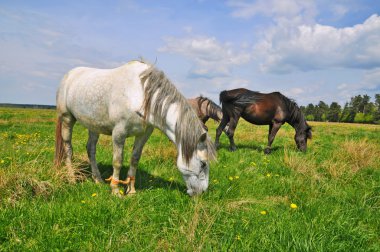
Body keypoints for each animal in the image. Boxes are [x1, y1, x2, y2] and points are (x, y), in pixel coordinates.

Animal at [53, 60, 215, 196]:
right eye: (203, 163)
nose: (201, 192)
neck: (140, 96)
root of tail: (69, 75)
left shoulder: (144, 134)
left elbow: (134, 159)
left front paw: (130, 190)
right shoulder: (119, 133)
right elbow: (118, 161)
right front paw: (115, 190)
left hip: (93, 125)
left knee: (91, 149)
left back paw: (97, 179)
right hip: (67, 119)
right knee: (68, 148)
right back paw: (72, 178)